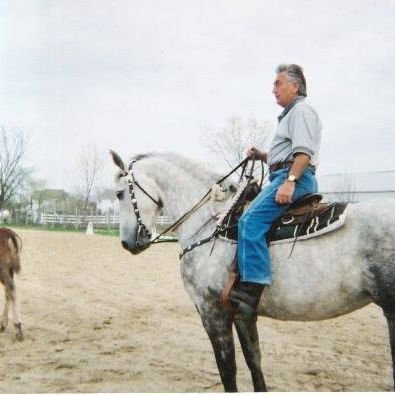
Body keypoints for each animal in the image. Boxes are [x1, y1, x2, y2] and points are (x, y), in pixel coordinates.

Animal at [110, 152, 395, 392]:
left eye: (120, 193)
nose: (127, 243)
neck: (213, 223)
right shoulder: (242, 313)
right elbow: (253, 361)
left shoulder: (212, 312)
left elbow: (228, 370)